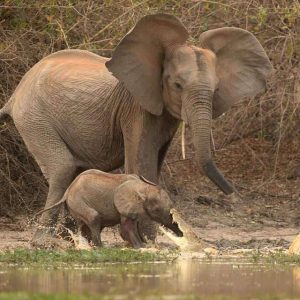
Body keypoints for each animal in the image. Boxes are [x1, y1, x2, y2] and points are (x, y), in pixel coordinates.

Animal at [37, 170, 183, 247]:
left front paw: (145, 245)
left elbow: (135, 224)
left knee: (84, 225)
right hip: (77, 201)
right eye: (157, 210)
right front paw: (141, 247)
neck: (143, 186)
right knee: (93, 217)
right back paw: (101, 247)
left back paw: (87, 245)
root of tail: (67, 191)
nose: (181, 234)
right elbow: (127, 226)